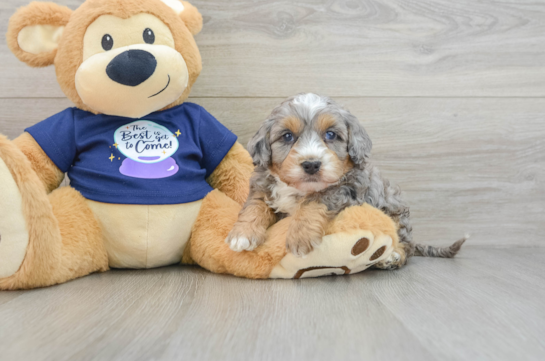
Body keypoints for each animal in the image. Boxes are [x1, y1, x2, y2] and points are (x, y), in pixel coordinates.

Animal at [225, 93, 464, 268]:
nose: (311, 164)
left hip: (398, 216)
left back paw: (392, 257)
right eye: (287, 136)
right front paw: (242, 234)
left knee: (405, 244)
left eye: (331, 135)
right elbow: (254, 206)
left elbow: (314, 201)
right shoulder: (262, 186)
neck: (299, 189)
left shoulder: (347, 187)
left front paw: (300, 236)